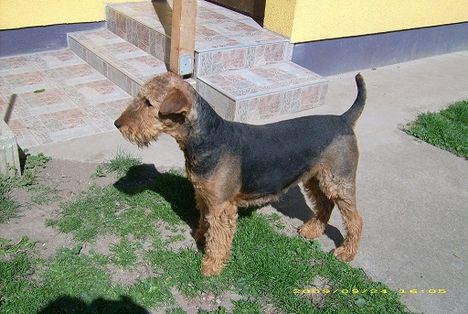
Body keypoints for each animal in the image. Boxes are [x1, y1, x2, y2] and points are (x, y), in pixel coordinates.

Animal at [113, 72, 366, 276]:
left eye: (148, 102)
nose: (117, 124)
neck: (210, 138)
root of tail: (343, 119)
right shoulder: (204, 196)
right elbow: (204, 223)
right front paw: (200, 237)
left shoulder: (221, 207)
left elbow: (218, 239)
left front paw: (211, 266)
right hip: (315, 179)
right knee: (325, 205)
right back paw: (312, 230)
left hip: (338, 181)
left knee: (354, 219)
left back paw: (346, 252)